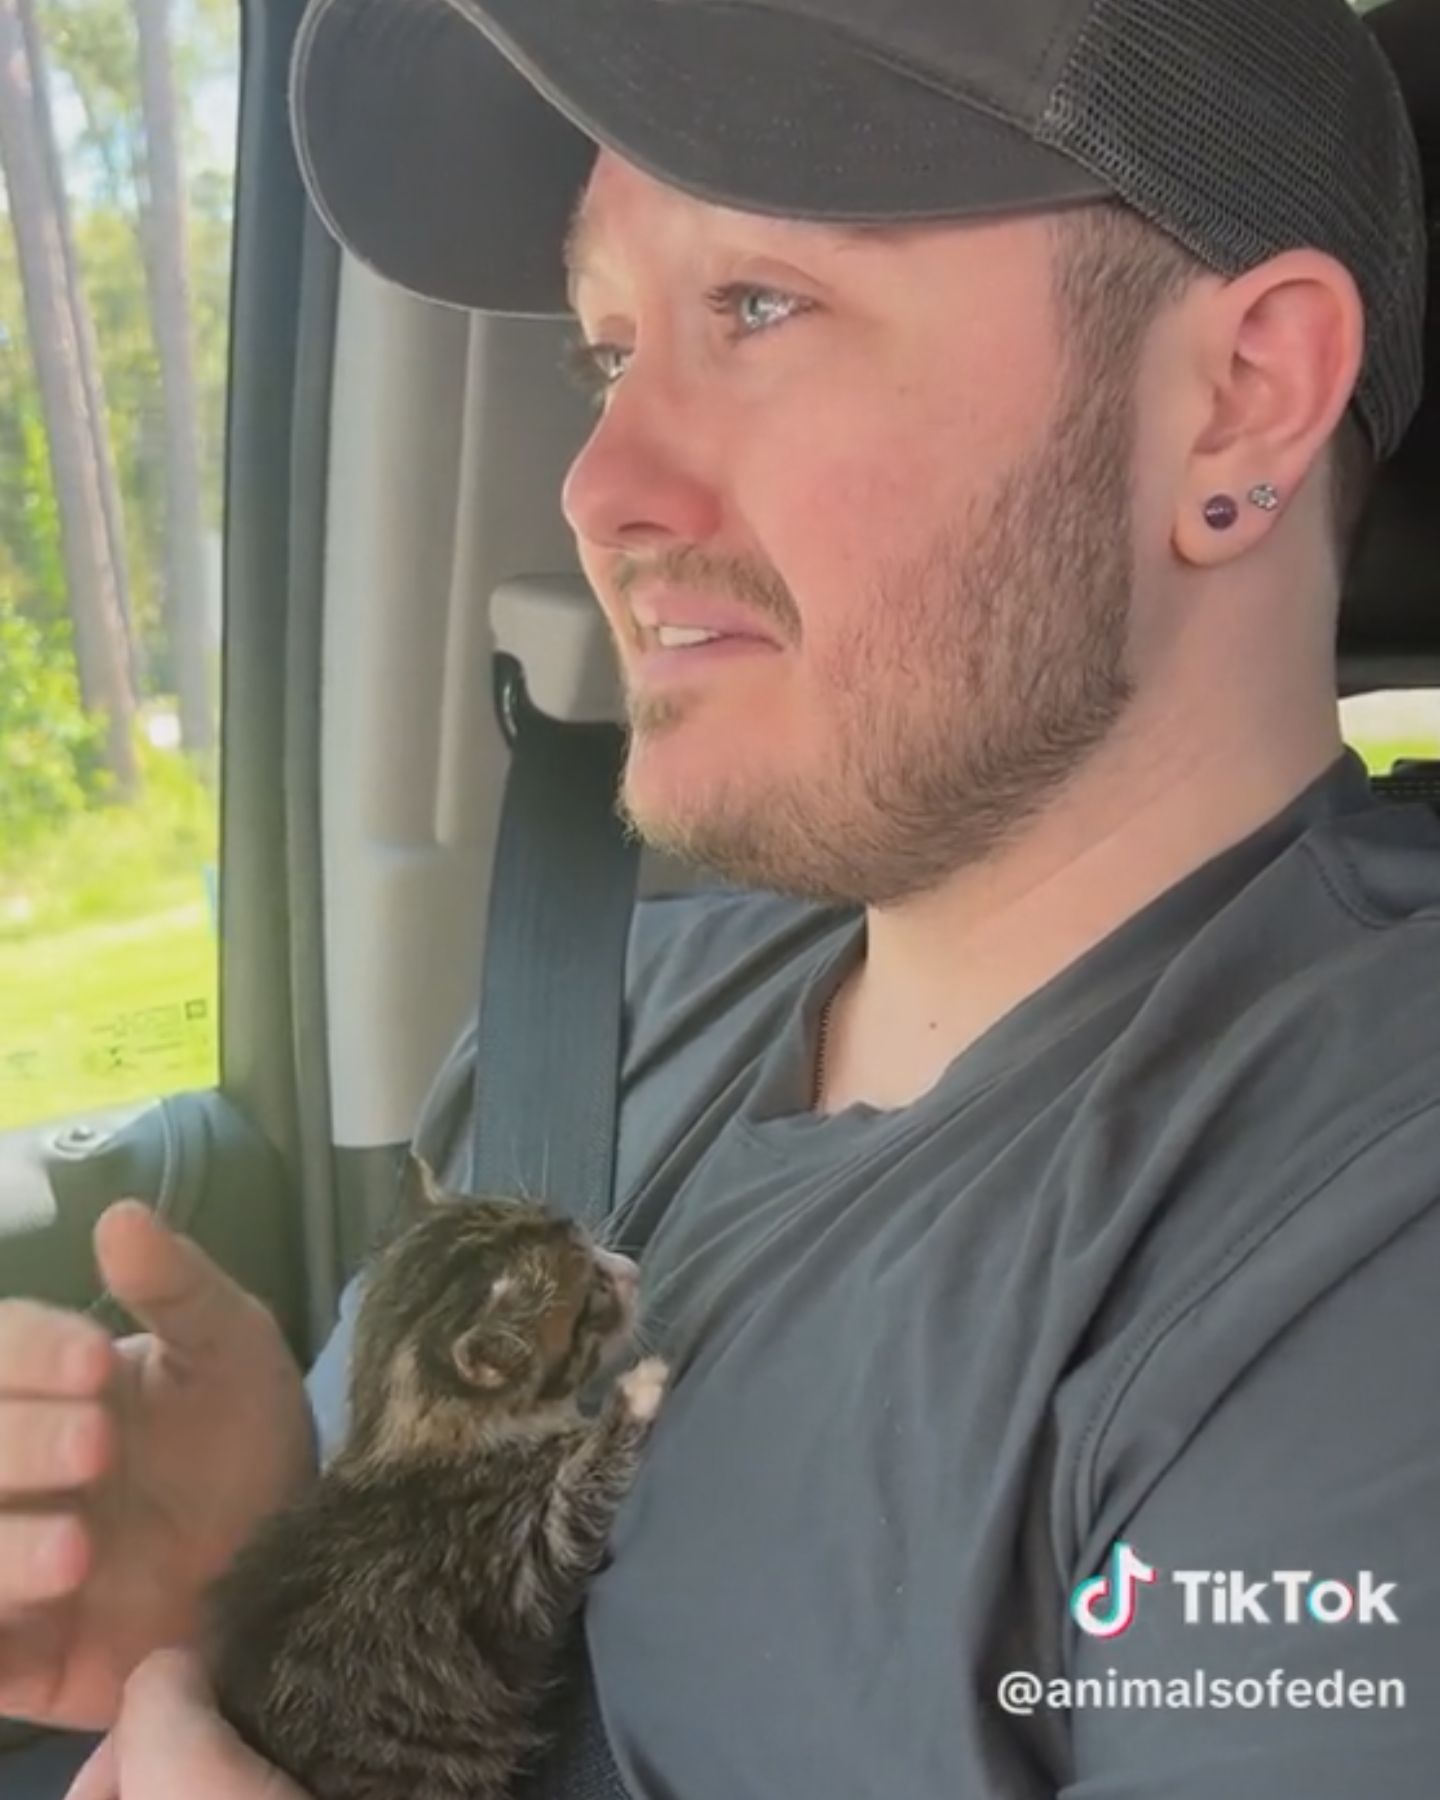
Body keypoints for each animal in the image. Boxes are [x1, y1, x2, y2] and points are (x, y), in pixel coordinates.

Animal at [205, 1166, 666, 1800]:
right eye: (594, 1296)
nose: (630, 1269)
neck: (404, 1426)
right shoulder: (512, 1556)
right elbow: (573, 1511)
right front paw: (635, 1397)